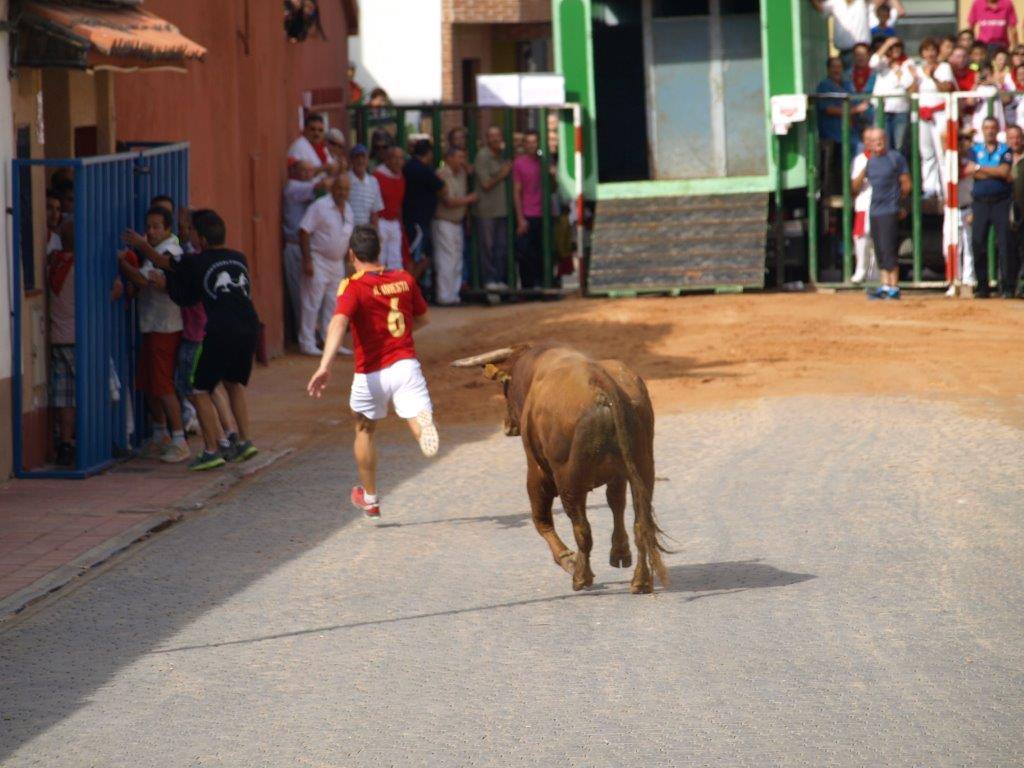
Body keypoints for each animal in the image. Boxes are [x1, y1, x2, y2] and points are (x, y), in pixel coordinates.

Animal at [452, 344, 667, 593]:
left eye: (505, 387)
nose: (507, 426)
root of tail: (601, 384)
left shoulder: (537, 471)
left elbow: (541, 520)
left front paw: (568, 559)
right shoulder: (619, 476)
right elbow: (616, 504)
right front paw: (620, 553)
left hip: (568, 480)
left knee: (581, 528)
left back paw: (581, 576)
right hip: (643, 467)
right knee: (640, 523)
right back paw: (641, 581)